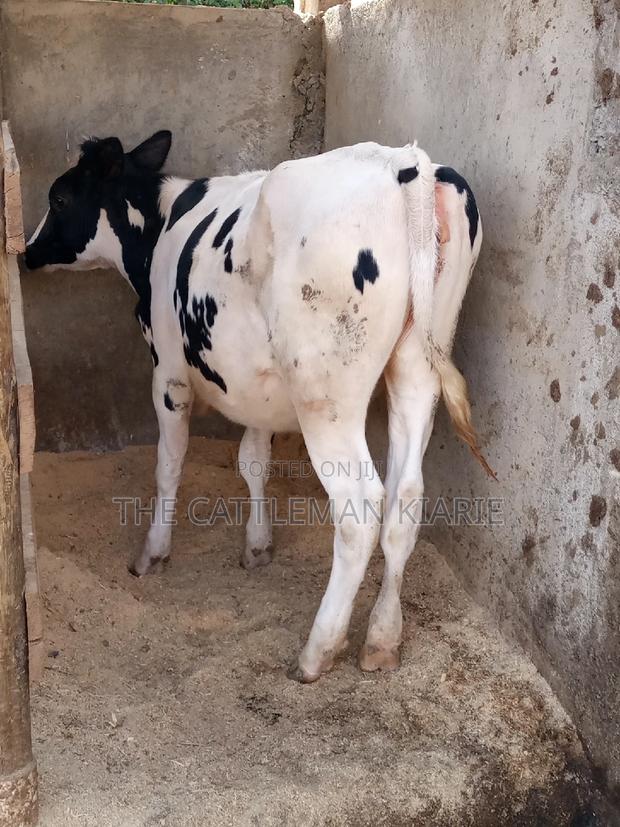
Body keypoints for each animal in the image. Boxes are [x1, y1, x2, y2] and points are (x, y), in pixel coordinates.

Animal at [25, 131, 492, 682]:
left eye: (59, 198)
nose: (25, 252)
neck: (159, 230)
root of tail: (402, 161)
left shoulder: (168, 374)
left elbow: (169, 464)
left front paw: (152, 553)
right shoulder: (256, 387)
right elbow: (252, 460)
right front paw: (257, 544)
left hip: (325, 395)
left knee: (359, 509)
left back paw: (317, 651)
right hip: (418, 366)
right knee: (406, 499)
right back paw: (381, 640)